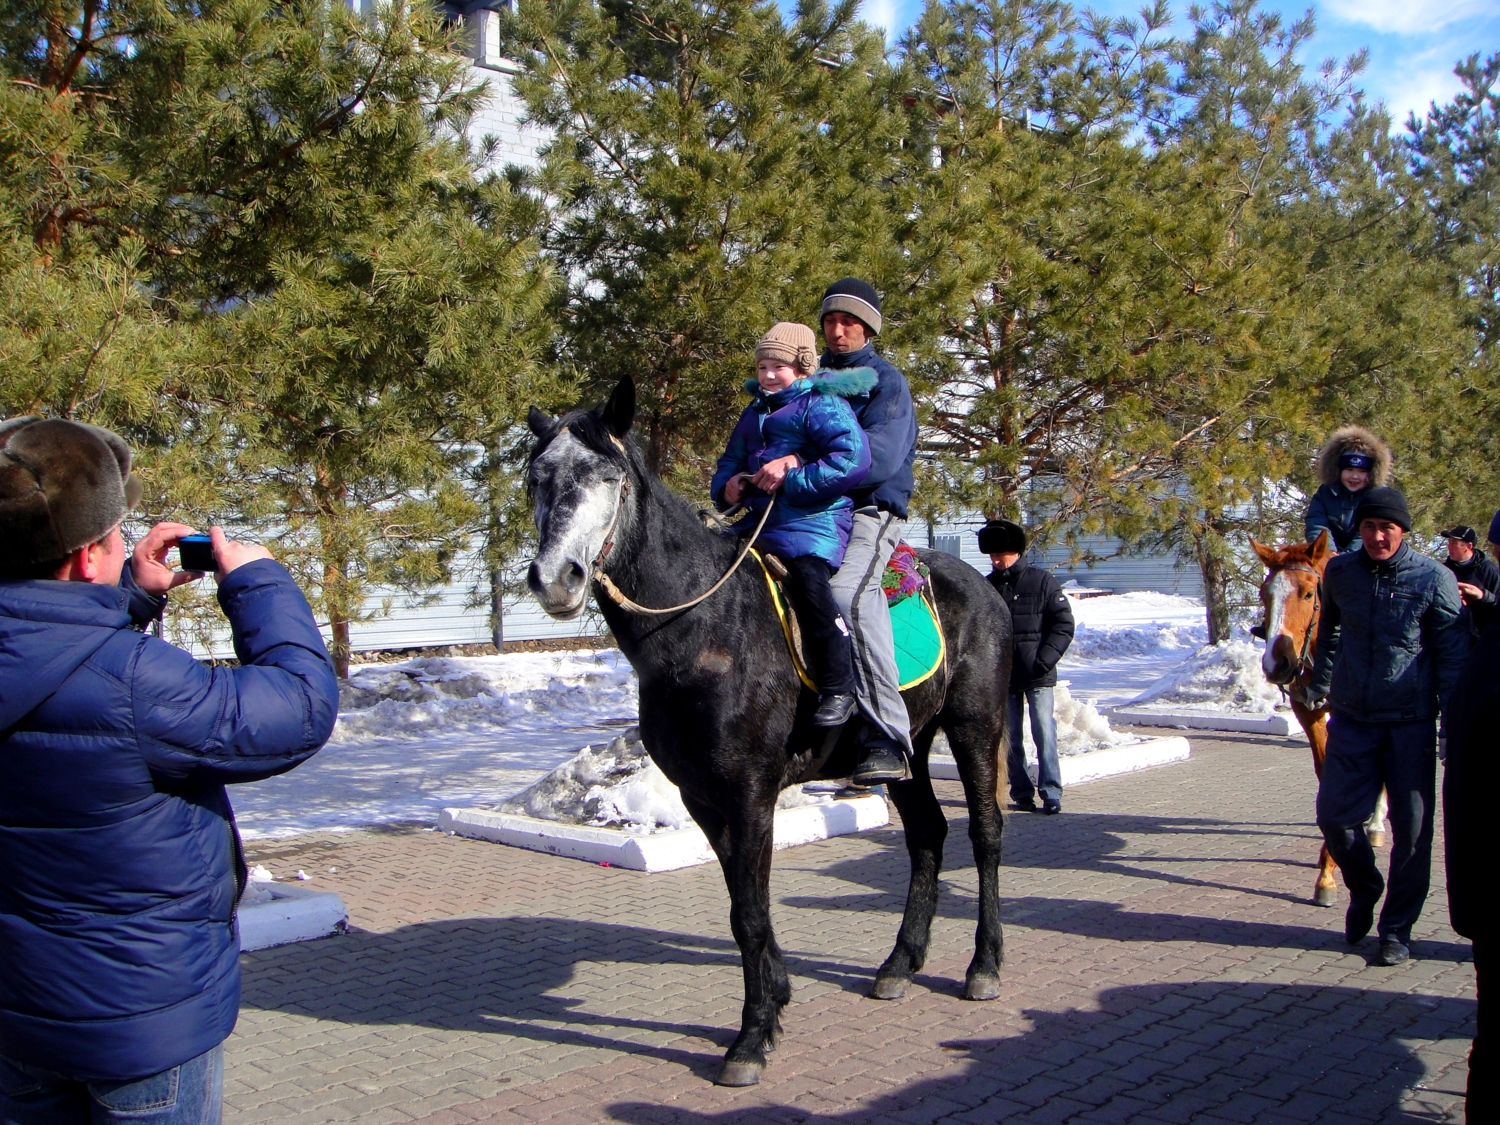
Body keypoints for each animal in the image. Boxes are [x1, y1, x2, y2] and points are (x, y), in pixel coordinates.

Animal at [525, 381, 1008, 1092]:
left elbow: (751, 912)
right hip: (906, 748)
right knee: (927, 835)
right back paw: (898, 964)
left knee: (984, 834)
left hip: (977, 726)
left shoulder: (750, 791)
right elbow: (740, 909)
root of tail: (982, 586)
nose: (557, 578)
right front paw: (775, 1002)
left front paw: (750, 1039)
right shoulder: (702, 797)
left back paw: (984, 965)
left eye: (608, 478)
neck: (704, 625)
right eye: (538, 477)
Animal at [1248, 528, 1386, 906]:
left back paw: (1376, 823)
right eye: (1265, 593)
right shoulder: (1308, 712)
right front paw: (1331, 863)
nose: (1276, 663)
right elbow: (1327, 777)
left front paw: (1330, 869)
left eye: (1309, 593)